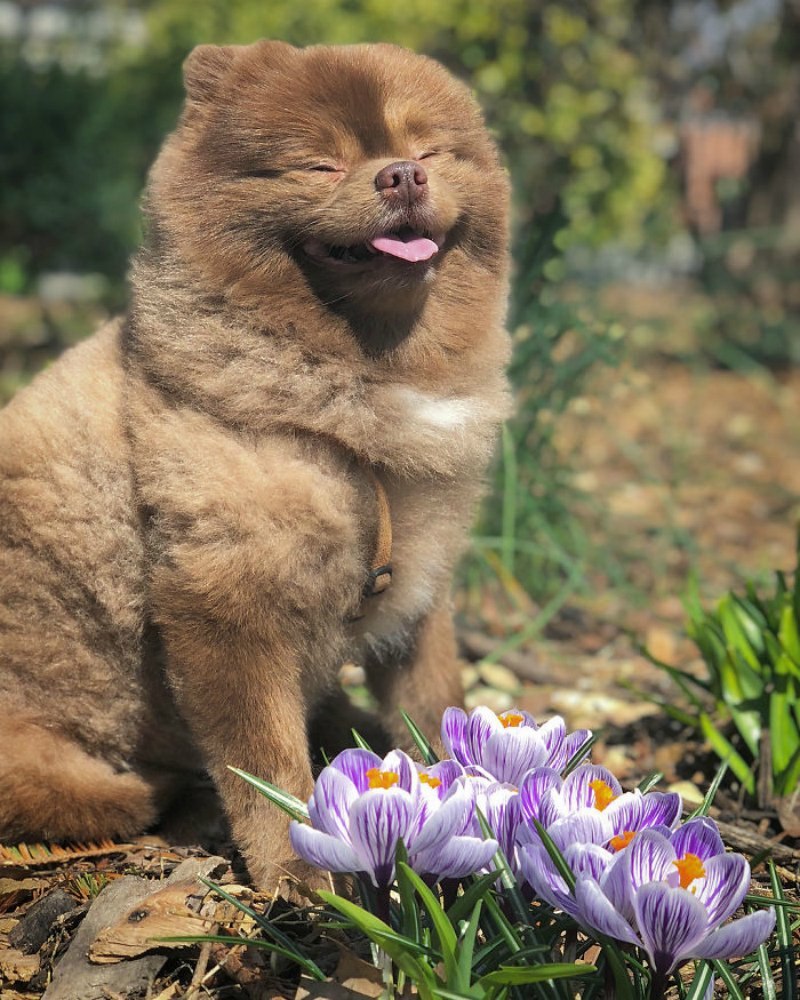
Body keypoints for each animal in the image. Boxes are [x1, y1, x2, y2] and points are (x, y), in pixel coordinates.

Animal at [0, 39, 512, 892]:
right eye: (320, 166)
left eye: (429, 149)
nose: (402, 175)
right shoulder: (226, 603)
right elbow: (265, 762)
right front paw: (304, 876)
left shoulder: (419, 586)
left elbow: (433, 700)